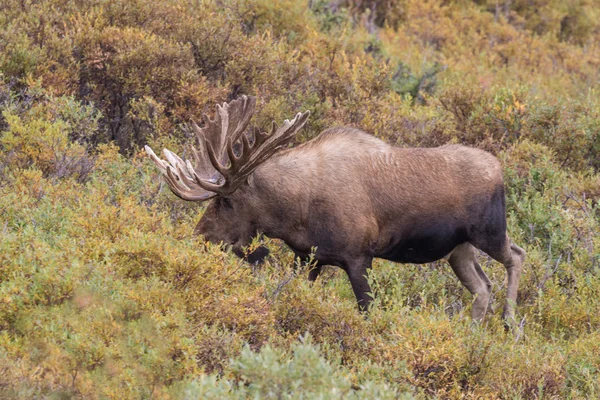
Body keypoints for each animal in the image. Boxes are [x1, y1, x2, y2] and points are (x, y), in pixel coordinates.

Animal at [145, 95, 524, 324]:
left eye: (226, 200)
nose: (200, 236)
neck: (294, 212)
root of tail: (500, 170)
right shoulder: (307, 257)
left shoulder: (359, 256)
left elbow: (366, 310)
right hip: (458, 250)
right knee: (482, 287)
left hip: (490, 232)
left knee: (516, 256)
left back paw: (510, 322)